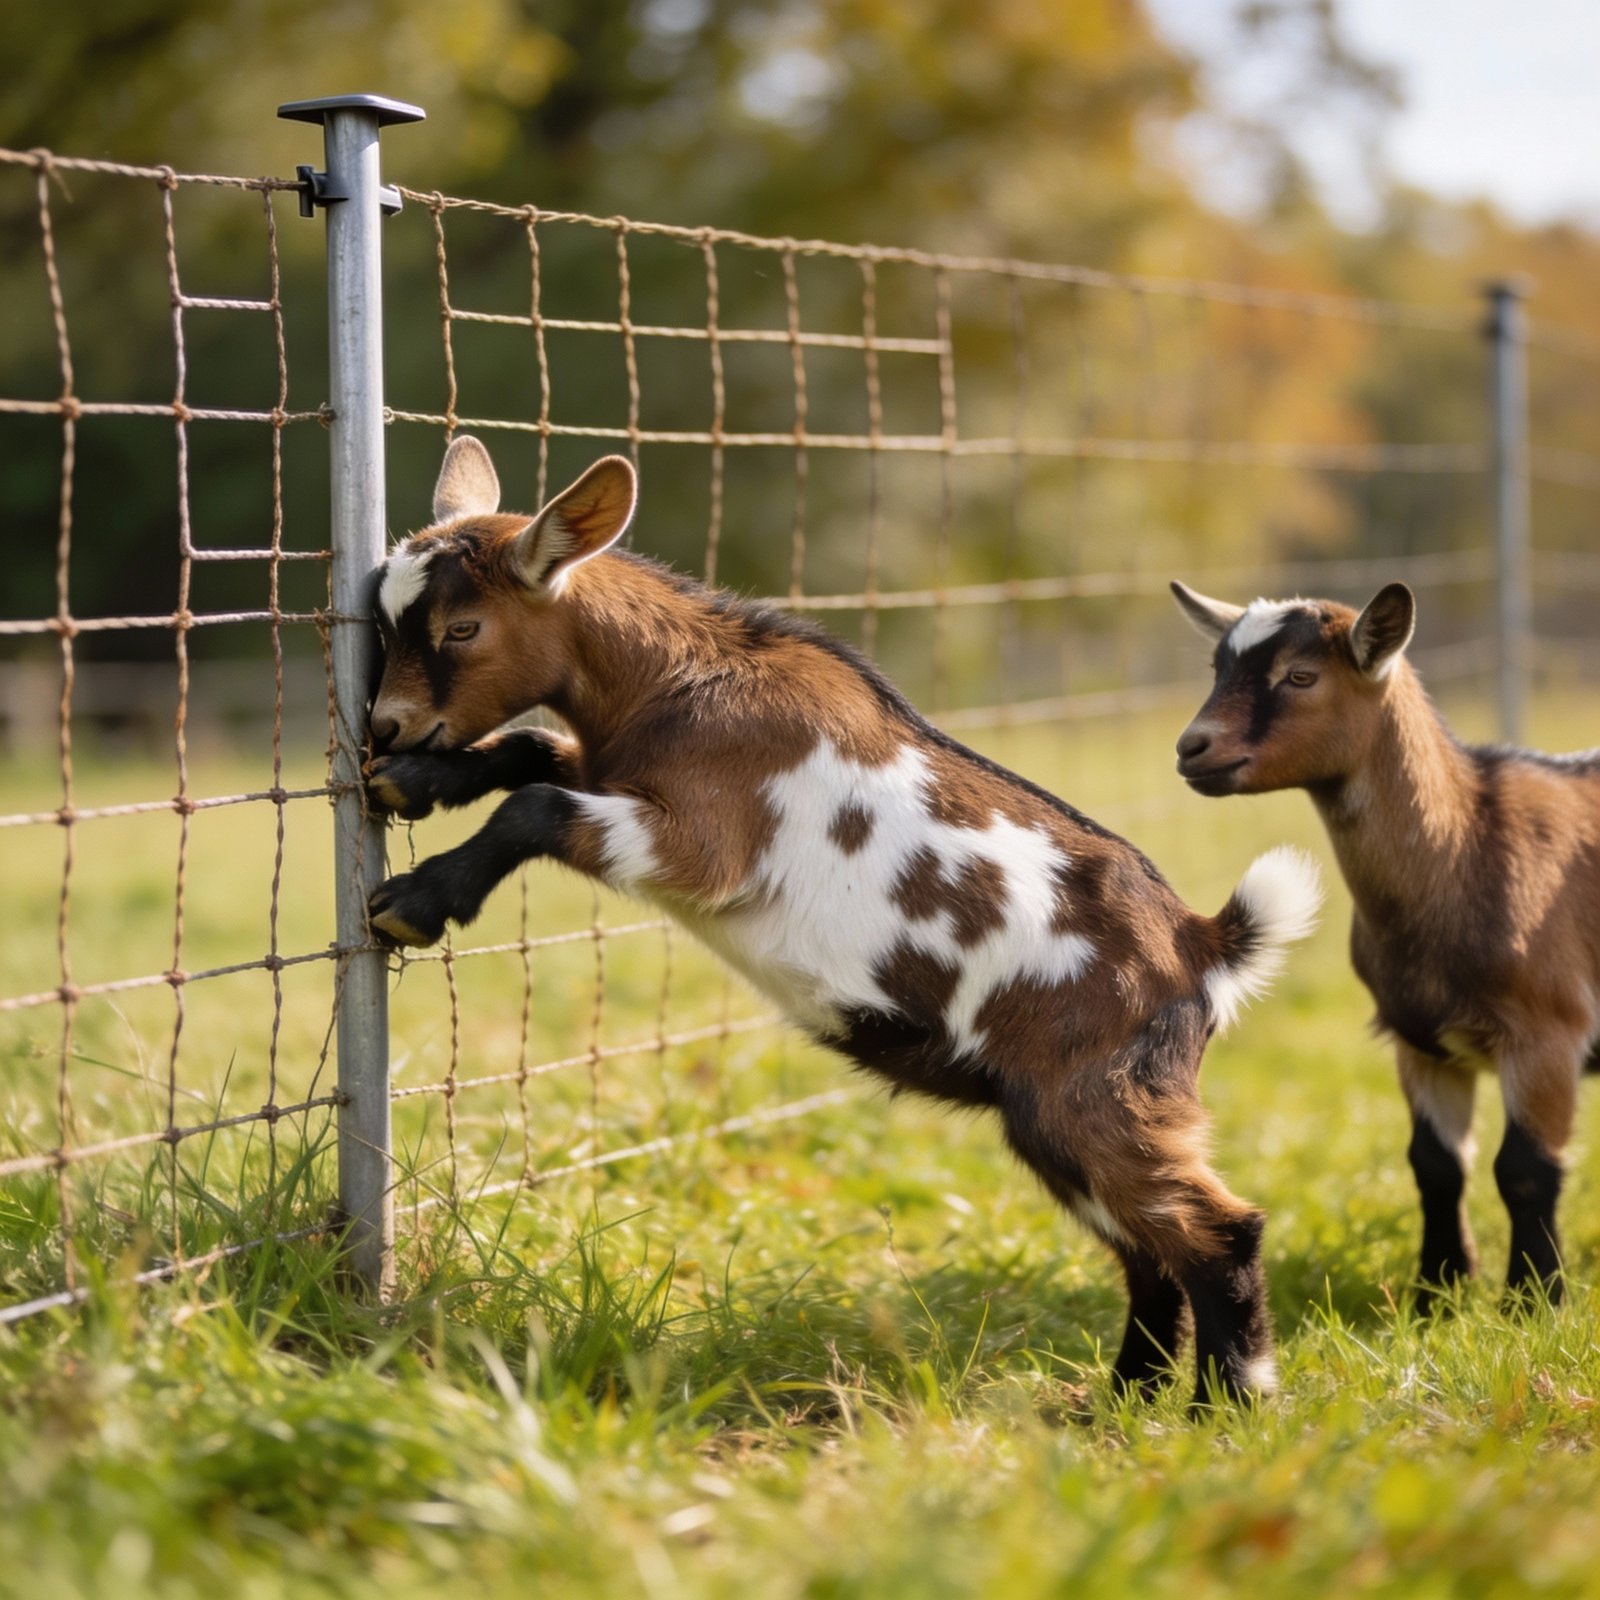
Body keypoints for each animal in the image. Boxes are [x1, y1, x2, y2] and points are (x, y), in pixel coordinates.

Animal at [362, 435, 1322, 1404]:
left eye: (462, 628)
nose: (388, 727)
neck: (680, 681)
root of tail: (1203, 946)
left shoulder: (702, 845)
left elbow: (539, 805)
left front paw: (413, 903)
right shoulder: (610, 771)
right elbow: (532, 749)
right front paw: (414, 784)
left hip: (1104, 1097)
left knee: (1217, 1232)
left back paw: (1229, 1403)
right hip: (1056, 1117)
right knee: (1147, 1251)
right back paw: (1123, 1402)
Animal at [1172, 578, 1600, 1306]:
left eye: (1301, 676)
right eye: (1217, 669)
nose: (1191, 748)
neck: (1469, 845)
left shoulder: (1548, 1032)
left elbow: (1525, 1168)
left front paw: (1533, 1300)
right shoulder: (1421, 1040)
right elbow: (1435, 1164)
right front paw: (1437, 1293)